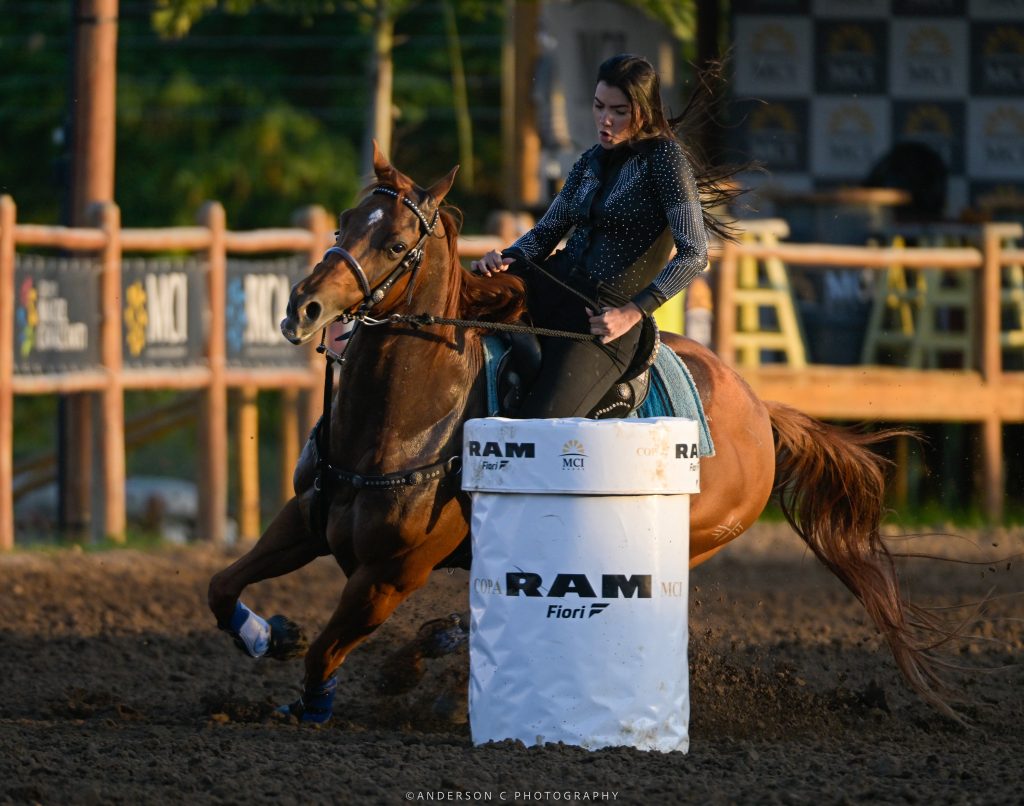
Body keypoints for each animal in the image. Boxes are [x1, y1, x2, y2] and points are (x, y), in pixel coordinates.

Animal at [205, 143, 950, 725]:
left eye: (393, 243)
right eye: (344, 221)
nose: (302, 307)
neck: (405, 421)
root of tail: (759, 413)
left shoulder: (389, 575)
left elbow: (327, 652)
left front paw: (321, 691)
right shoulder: (306, 516)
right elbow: (221, 588)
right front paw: (267, 634)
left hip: (687, 542)